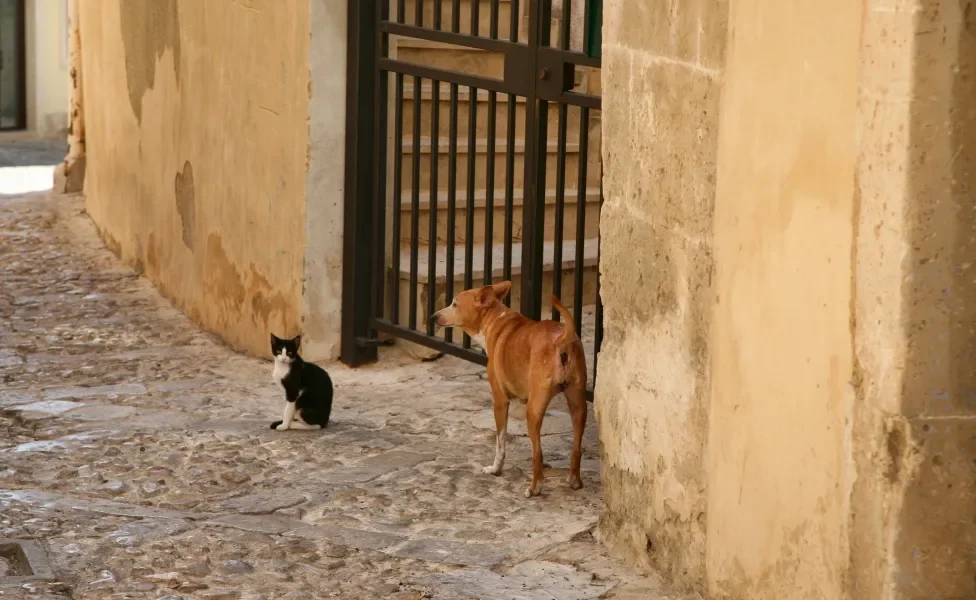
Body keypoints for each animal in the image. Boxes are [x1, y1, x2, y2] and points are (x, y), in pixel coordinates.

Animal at [432, 282, 588, 496]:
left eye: (454, 304)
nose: (433, 317)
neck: (496, 322)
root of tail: (563, 338)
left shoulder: (499, 400)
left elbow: (500, 441)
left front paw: (495, 469)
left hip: (534, 411)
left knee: (537, 453)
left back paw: (534, 488)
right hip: (578, 405)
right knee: (576, 449)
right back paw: (574, 481)